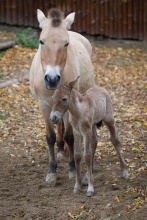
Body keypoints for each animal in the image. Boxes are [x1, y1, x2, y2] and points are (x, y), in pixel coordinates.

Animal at [29, 7, 94, 185]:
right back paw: (60, 151)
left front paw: (72, 169)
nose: (52, 79)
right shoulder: (44, 105)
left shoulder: (68, 107)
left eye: (66, 43)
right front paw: (52, 171)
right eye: (41, 41)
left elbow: (69, 136)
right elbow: (50, 136)